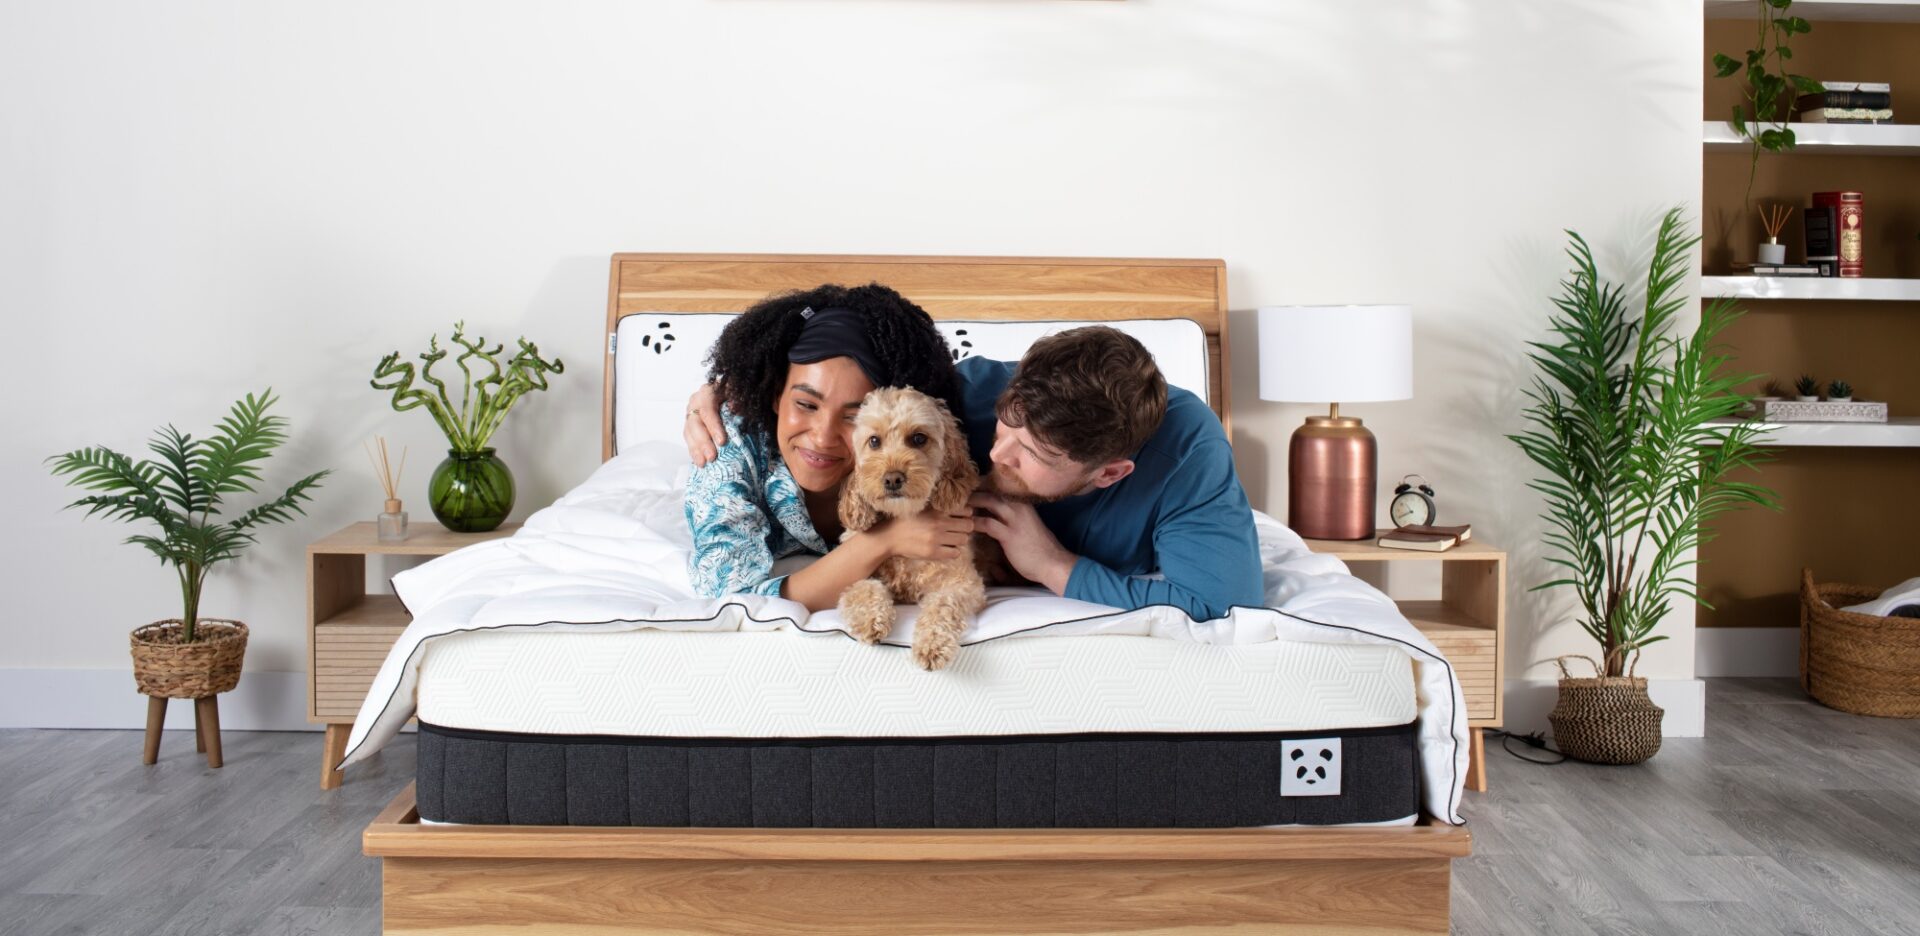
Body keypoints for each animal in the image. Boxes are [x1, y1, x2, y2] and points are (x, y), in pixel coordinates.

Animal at [840, 383, 990, 667]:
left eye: (919, 438)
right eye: (874, 441)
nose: (892, 479)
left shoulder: (964, 582)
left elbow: (943, 603)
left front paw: (932, 643)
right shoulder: (853, 571)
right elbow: (865, 588)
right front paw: (871, 619)